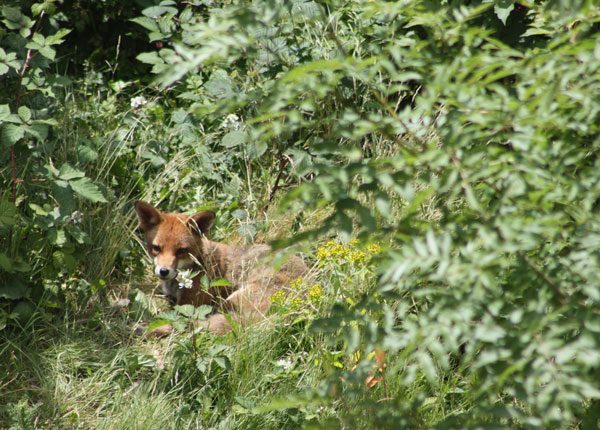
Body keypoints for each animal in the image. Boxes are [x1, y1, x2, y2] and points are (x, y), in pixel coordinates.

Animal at [134, 200, 308, 334]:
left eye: (182, 251)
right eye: (156, 248)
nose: (163, 271)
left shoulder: (189, 305)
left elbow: (172, 320)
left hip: (230, 301)